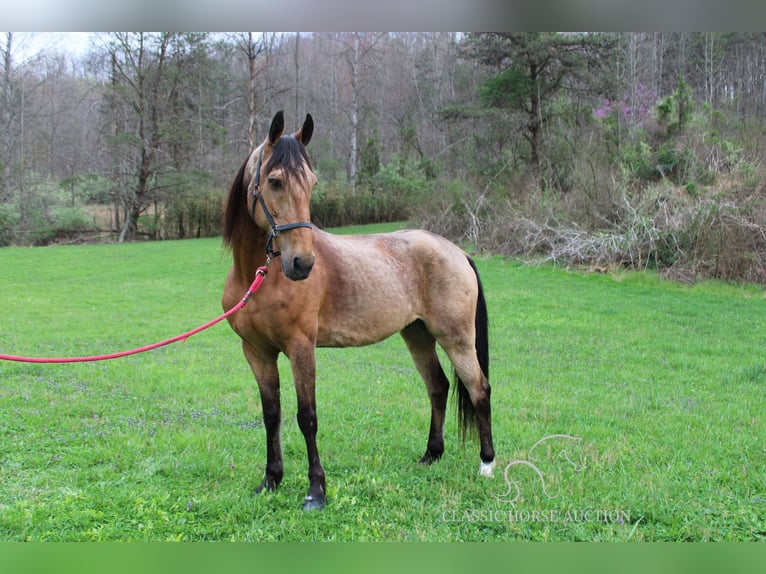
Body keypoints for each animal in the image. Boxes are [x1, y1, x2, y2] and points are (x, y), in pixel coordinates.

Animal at [222, 112, 498, 512]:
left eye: (312, 183)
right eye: (274, 181)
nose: (302, 263)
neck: (259, 278)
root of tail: (457, 251)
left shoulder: (300, 348)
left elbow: (307, 417)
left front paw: (316, 492)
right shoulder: (257, 352)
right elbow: (271, 415)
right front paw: (271, 480)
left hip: (457, 339)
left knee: (479, 389)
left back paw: (487, 464)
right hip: (417, 335)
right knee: (438, 386)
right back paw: (431, 455)